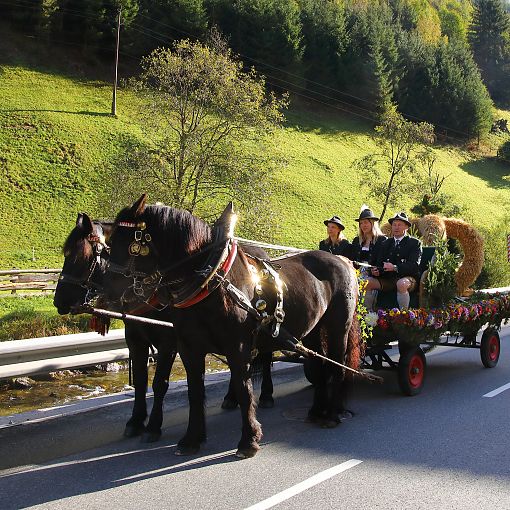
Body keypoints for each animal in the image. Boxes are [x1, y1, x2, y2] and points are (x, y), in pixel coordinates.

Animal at [102, 195, 358, 458]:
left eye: (129, 243)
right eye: (109, 242)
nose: (106, 292)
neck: (210, 280)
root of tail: (343, 260)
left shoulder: (238, 347)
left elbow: (244, 389)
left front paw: (249, 440)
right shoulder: (188, 347)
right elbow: (195, 391)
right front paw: (192, 439)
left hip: (339, 327)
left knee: (336, 366)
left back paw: (332, 414)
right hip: (312, 331)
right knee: (318, 365)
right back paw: (317, 411)